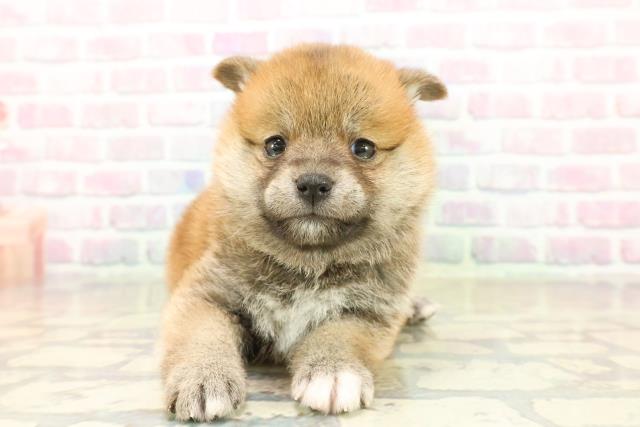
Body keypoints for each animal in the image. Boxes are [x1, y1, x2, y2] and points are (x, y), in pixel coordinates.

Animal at [161, 43, 446, 422]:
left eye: (363, 148)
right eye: (275, 145)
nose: (312, 183)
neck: (308, 260)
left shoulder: (370, 311)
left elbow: (339, 334)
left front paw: (332, 372)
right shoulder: (206, 295)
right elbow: (202, 335)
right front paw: (203, 377)